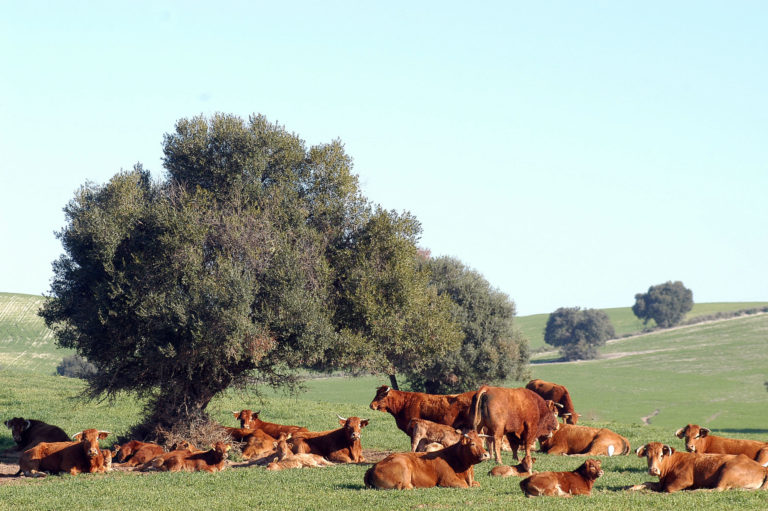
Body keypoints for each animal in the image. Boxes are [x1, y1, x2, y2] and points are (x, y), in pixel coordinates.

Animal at [632, 442, 768, 494]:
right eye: (647, 455)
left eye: (661, 455)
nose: (653, 470)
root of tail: (762, 468)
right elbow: (647, 483)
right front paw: (632, 487)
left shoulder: (684, 480)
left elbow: (668, 489)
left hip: (727, 470)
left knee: (717, 489)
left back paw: (695, 490)